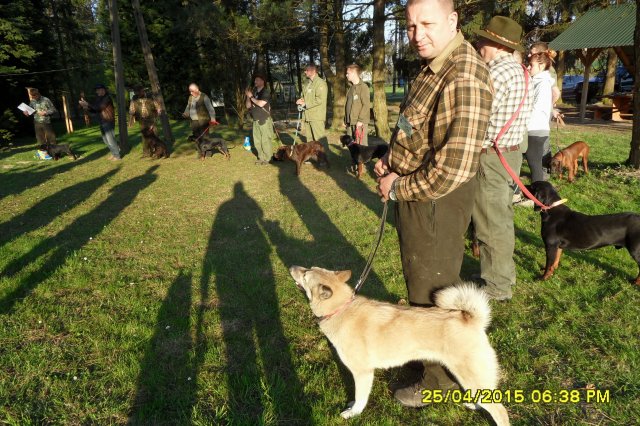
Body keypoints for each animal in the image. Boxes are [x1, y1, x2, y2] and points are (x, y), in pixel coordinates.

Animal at [290, 264, 510, 424]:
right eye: (308, 268)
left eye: (305, 274)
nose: (293, 266)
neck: (341, 309)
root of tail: (470, 318)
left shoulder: (363, 373)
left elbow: (361, 397)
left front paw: (353, 413)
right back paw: (475, 406)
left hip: (470, 375)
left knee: (500, 410)